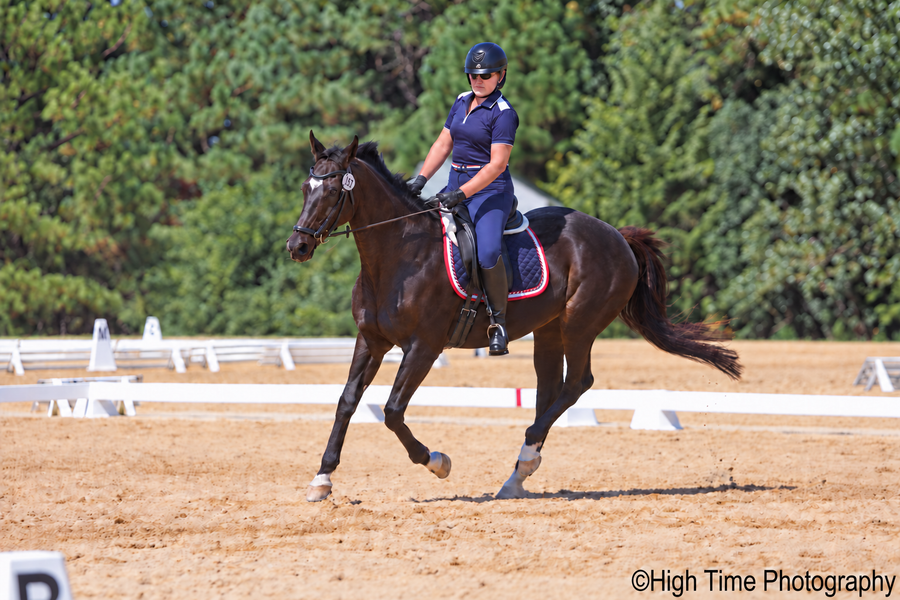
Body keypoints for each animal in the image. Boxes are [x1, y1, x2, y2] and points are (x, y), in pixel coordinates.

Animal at [287, 132, 742, 502]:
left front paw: (437, 462)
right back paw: (520, 473)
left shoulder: (424, 347)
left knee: (577, 383)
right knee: (550, 388)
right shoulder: (371, 340)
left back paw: (523, 459)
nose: (297, 247)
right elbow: (347, 402)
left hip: (579, 324)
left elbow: (393, 410)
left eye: (333, 192)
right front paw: (322, 480)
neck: (399, 255)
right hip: (549, 329)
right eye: (305, 188)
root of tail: (616, 234)